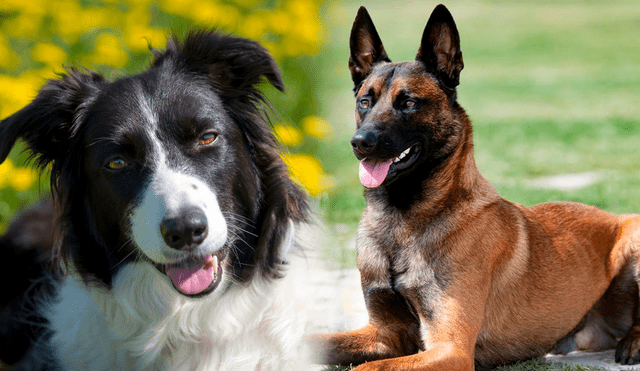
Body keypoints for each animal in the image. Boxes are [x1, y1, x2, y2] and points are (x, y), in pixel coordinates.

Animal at [312, 3, 640, 371]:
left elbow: (368, 367)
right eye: (365, 102)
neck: (401, 220)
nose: (360, 142)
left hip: (635, 236)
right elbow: (310, 340)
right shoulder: (385, 334)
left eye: (409, 103)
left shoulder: (450, 348)